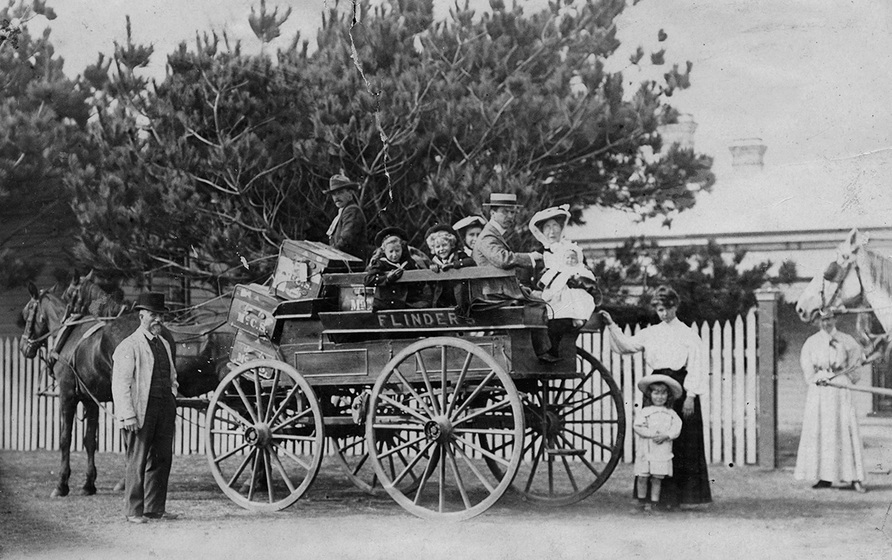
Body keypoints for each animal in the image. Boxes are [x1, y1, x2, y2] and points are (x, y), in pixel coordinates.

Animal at [20, 282, 233, 496]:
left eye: (27, 311)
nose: (24, 347)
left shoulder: (67, 395)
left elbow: (65, 439)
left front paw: (61, 484)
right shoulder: (90, 399)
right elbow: (90, 440)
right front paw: (89, 483)